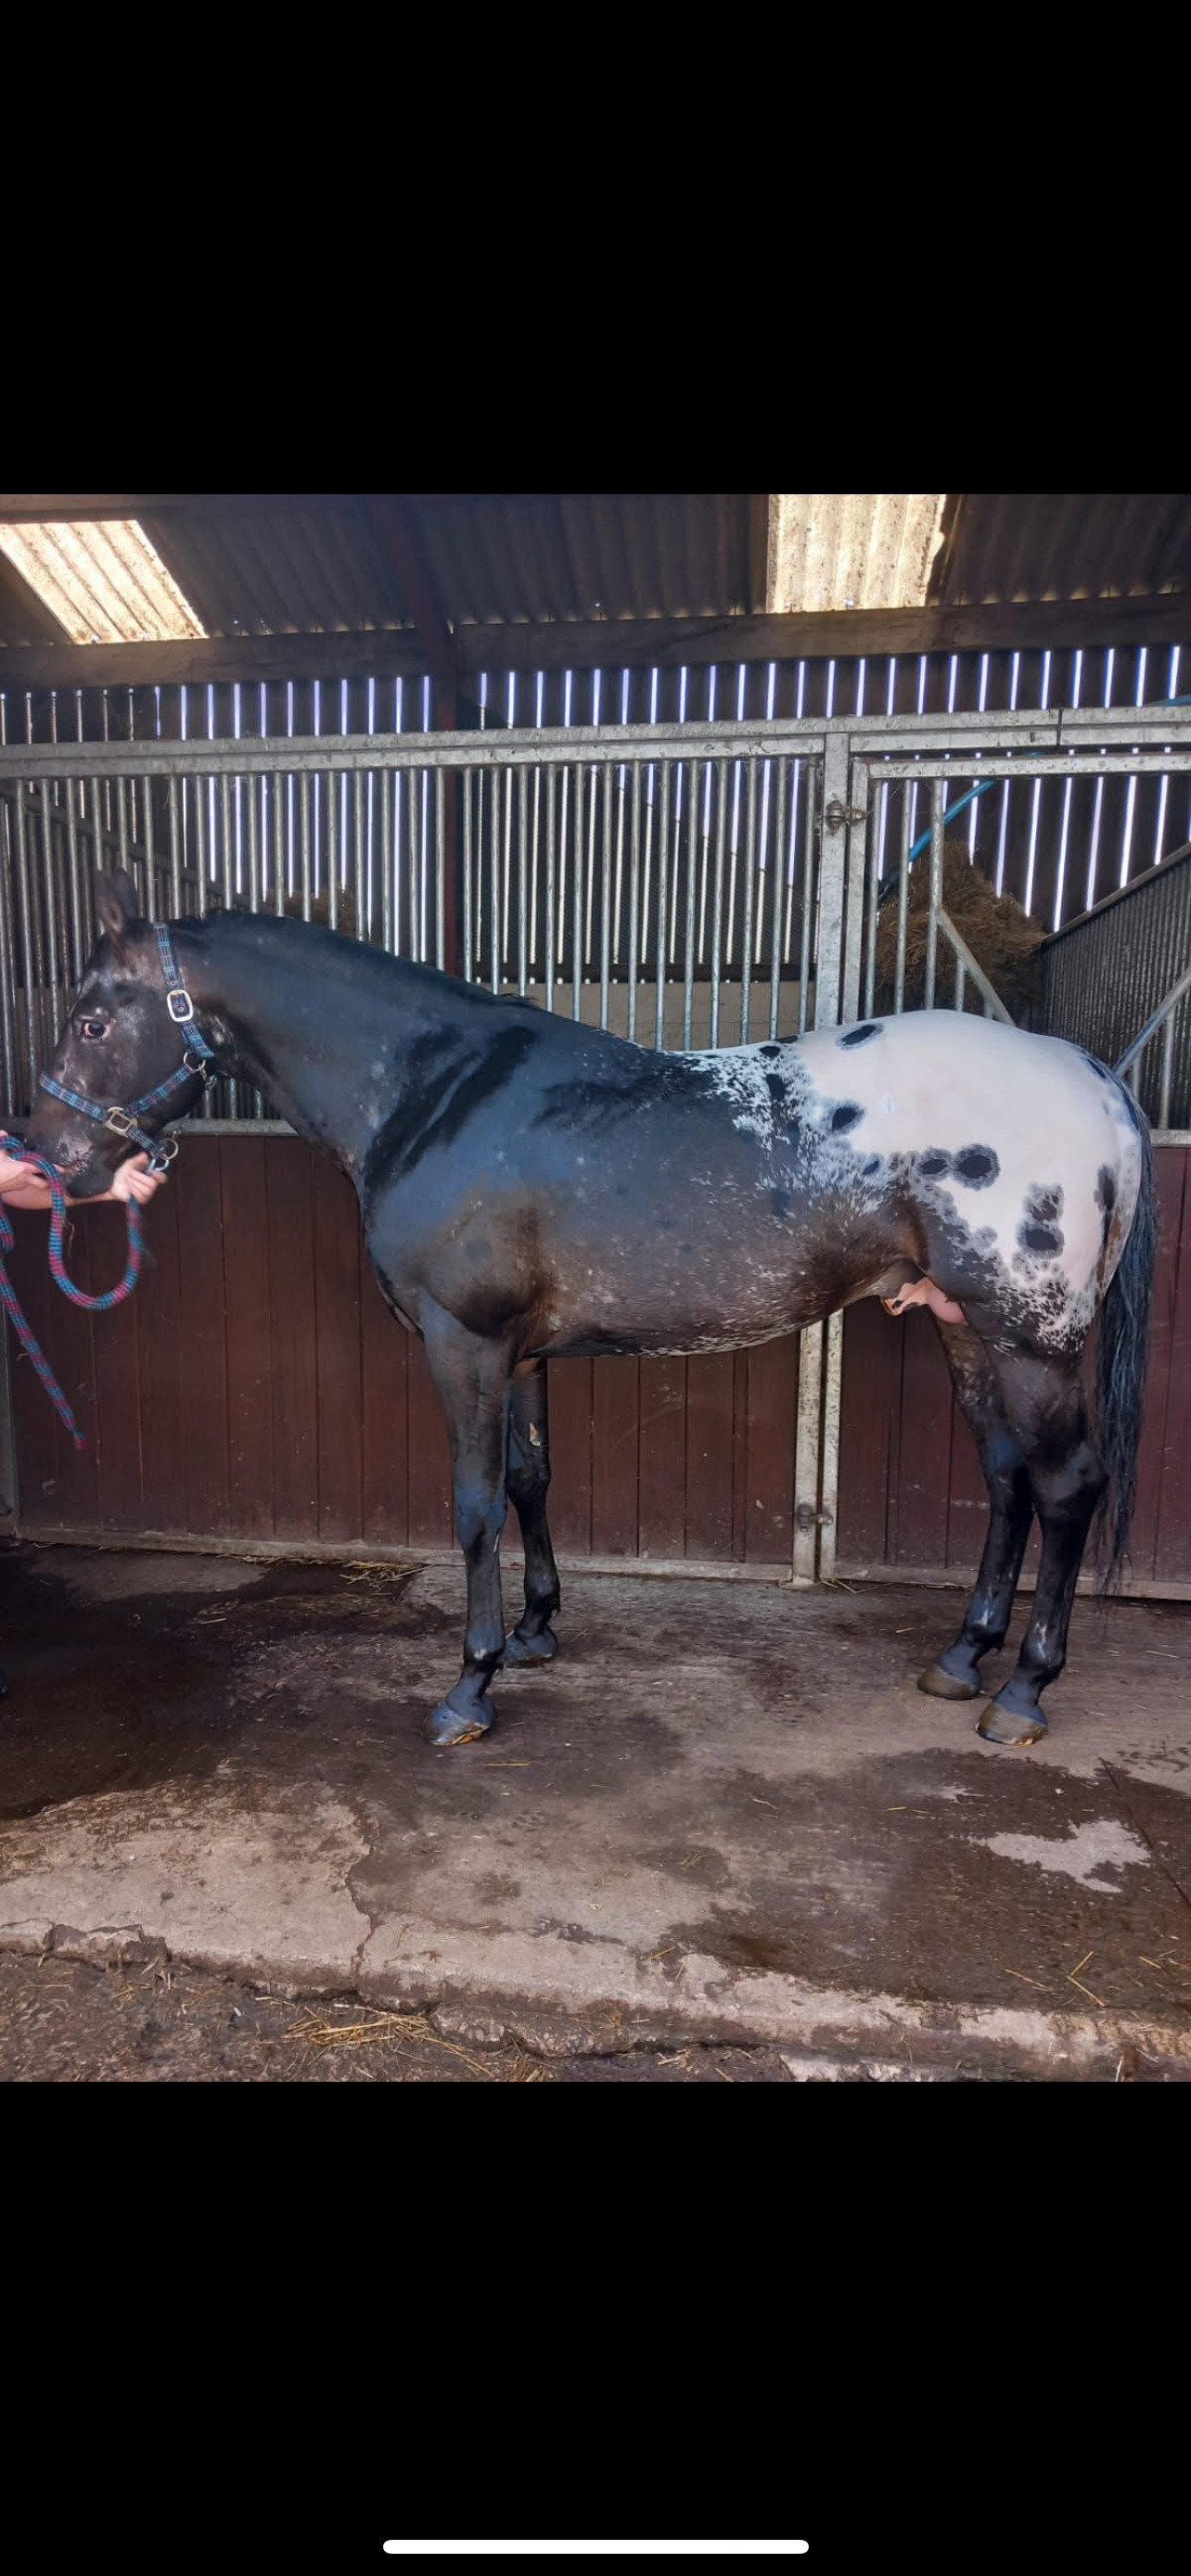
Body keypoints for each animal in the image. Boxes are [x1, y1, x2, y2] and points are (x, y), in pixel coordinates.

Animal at [25, 868, 1155, 1753]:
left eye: (90, 1019)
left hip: (1031, 1339)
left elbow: (476, 1506)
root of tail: (1089, 1078)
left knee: (1066, 1487)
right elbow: (531, 1481)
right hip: (964, 1327)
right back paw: (963, 1657)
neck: (435, 1093)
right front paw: (534, 1634)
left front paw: (469, 1686)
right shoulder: (522, 1354)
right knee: (1007, 1480)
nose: (45, 1158)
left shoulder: (466, 1343)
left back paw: (1023, 1692)